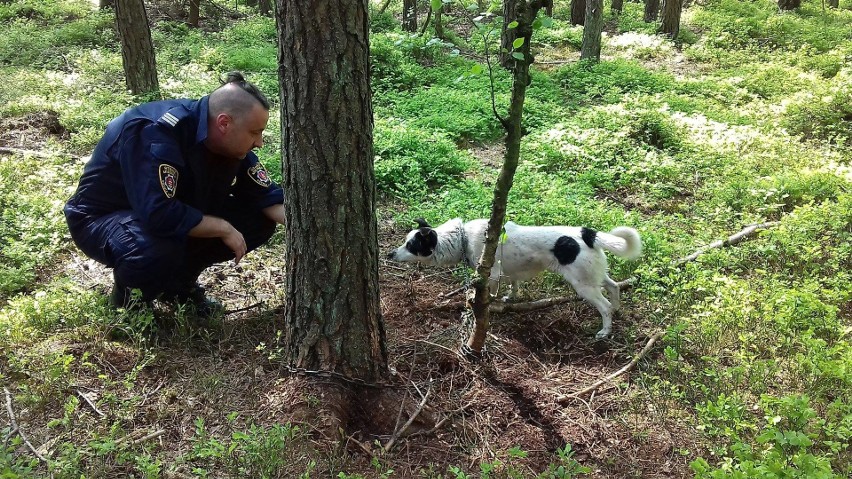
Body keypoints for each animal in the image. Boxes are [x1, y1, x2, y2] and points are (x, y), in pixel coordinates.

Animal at [386, 219, 640, 340]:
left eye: (411, 245)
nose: (389, 254)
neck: (462, 238)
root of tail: (587, 234)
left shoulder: (491, 275)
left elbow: (487, 297)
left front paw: (488, 308)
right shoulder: (509, 272)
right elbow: (513, 285)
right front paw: (511, 297)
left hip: (583, 286)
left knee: (604, 306)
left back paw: (605, 331)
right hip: (593, 276)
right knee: (614, 287)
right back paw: (617, 309)